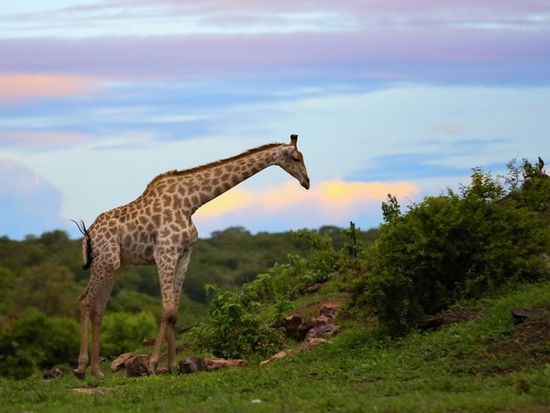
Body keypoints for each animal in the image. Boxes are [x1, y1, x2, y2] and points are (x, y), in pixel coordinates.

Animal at [73, 134, 310, 376]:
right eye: (295, 158)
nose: (307, 182)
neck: (190, 202)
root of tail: (88, 235)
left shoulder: (184, 254)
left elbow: (173, 311)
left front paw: (172, 365)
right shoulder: (165, 252)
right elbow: (167, 308)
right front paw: (152, 364)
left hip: (114, 266)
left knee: (98, 308)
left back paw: (97, 371)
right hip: (105, 261)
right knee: (85, 301)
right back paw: (81, 368)